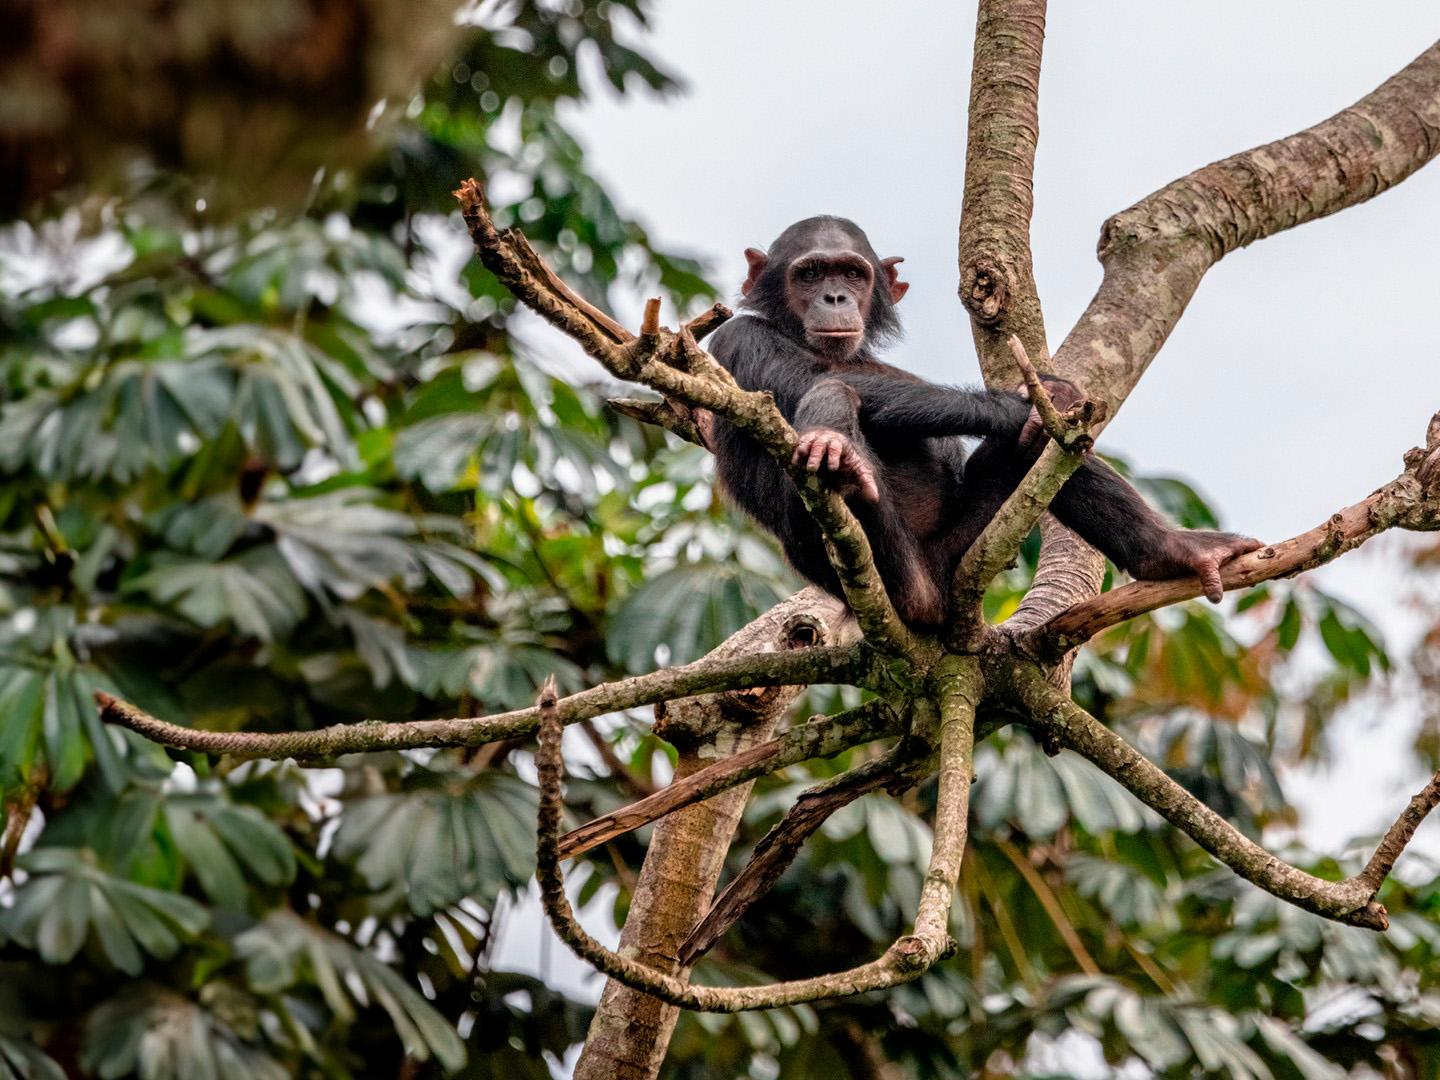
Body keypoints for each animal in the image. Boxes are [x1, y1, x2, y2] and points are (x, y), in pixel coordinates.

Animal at [705, 216, 1261, 630]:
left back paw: (1175, 552)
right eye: (811, 274)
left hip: (960, 552)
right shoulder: (736, 339)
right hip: (899, 579)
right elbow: (809, 381)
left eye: (852, 275)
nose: (835, 298)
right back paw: (836, 456)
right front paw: (1025, 403)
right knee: (831, 392)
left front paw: (1049, 393)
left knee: (1046, 454)